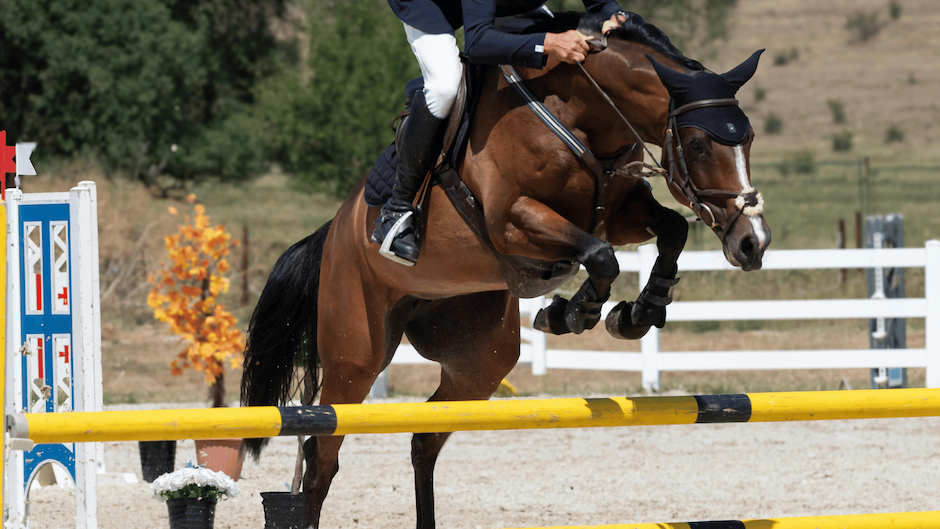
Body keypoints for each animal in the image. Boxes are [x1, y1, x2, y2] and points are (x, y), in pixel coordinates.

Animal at [241, 12, 771, 529]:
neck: (579, 114)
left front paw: (637, 312)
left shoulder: (620, 211)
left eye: (748, 137)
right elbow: (601, 255)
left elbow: (671, 229)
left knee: (424, 439)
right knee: (322, 455)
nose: (752, 243)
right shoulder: (514, 220)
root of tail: (334, 230)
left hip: (480, 359)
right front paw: (572, 312)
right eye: (698, 144)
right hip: (355, 356)